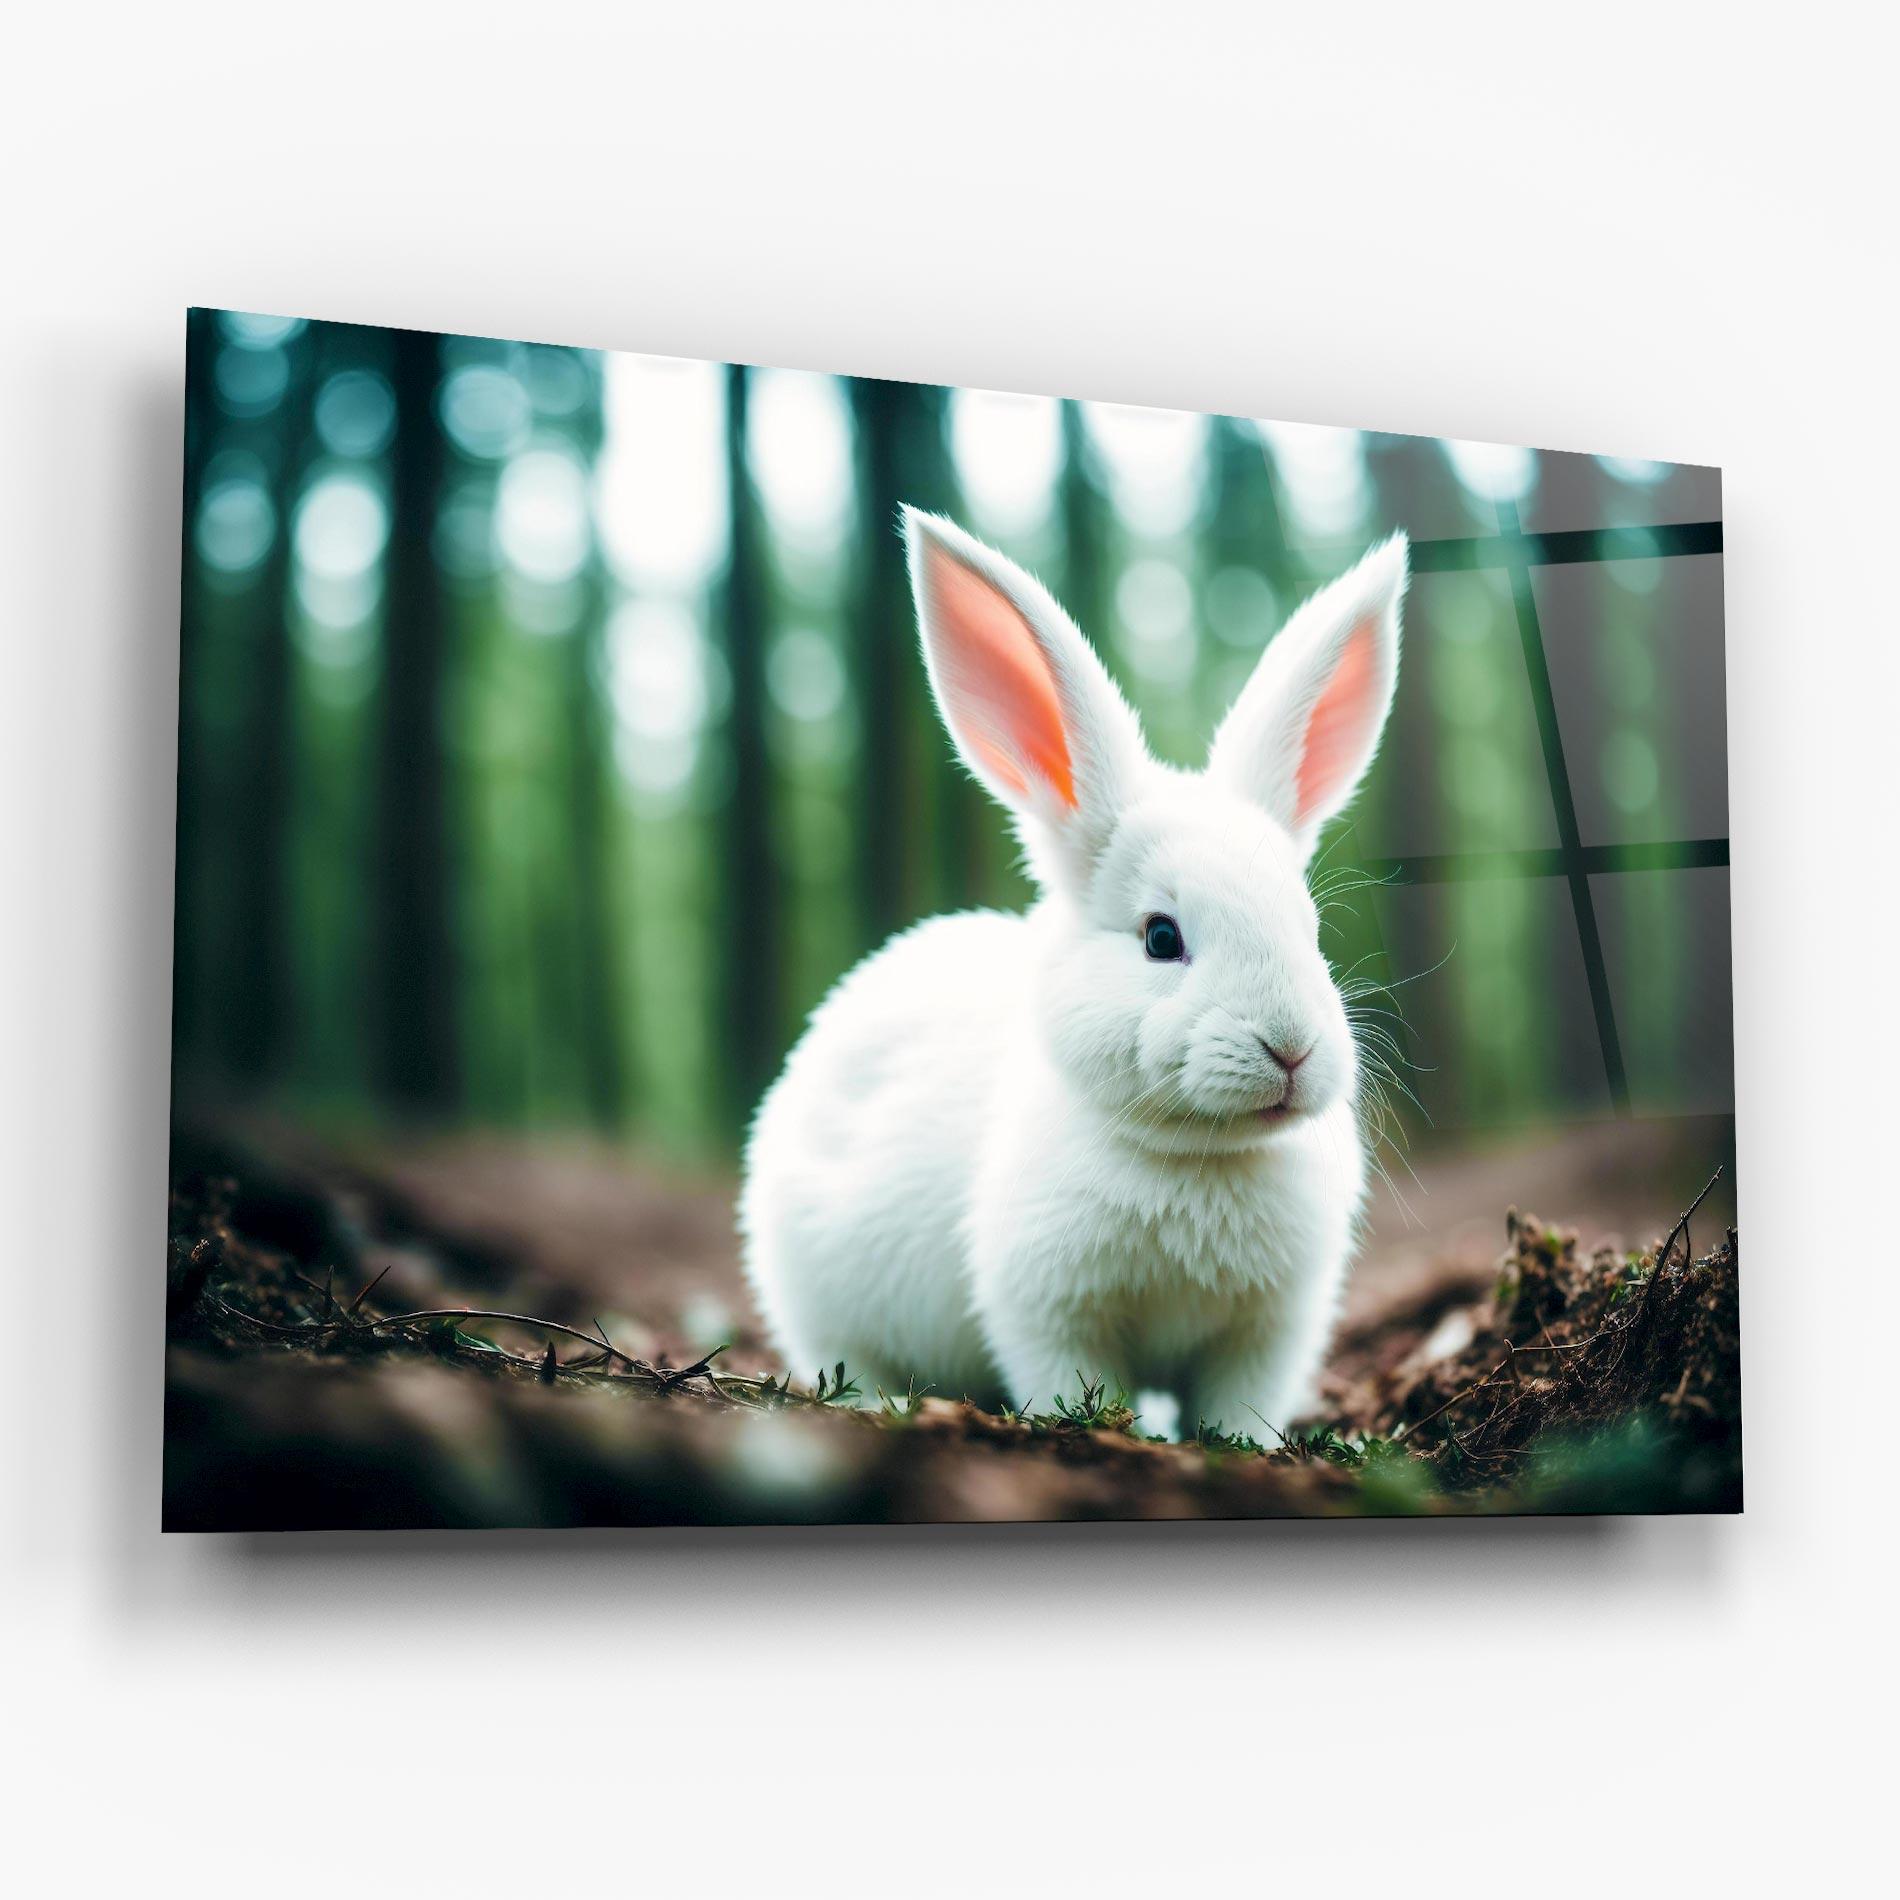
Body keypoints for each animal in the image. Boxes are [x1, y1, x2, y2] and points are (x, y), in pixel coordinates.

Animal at [741, 507, 1407, 1437]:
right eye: (1161, 937)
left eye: (1309, 929)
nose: (1292, 1048)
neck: (1196, 1156)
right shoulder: (1047, 1310)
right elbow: (1067, 1375)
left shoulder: (1270, 1328)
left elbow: (1240, 1403)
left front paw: (1242, 1444)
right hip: (816, 1289)